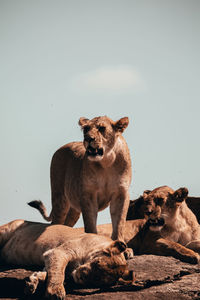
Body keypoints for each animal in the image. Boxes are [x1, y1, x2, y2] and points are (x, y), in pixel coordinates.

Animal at [0, 219, 131, 298]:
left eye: (97, 279)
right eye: (97, 263)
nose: (81, 276)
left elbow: (50, 272)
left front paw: (34, 281)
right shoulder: (59, 252)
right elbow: (58, 272)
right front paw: (56, 291)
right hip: (7, 230)